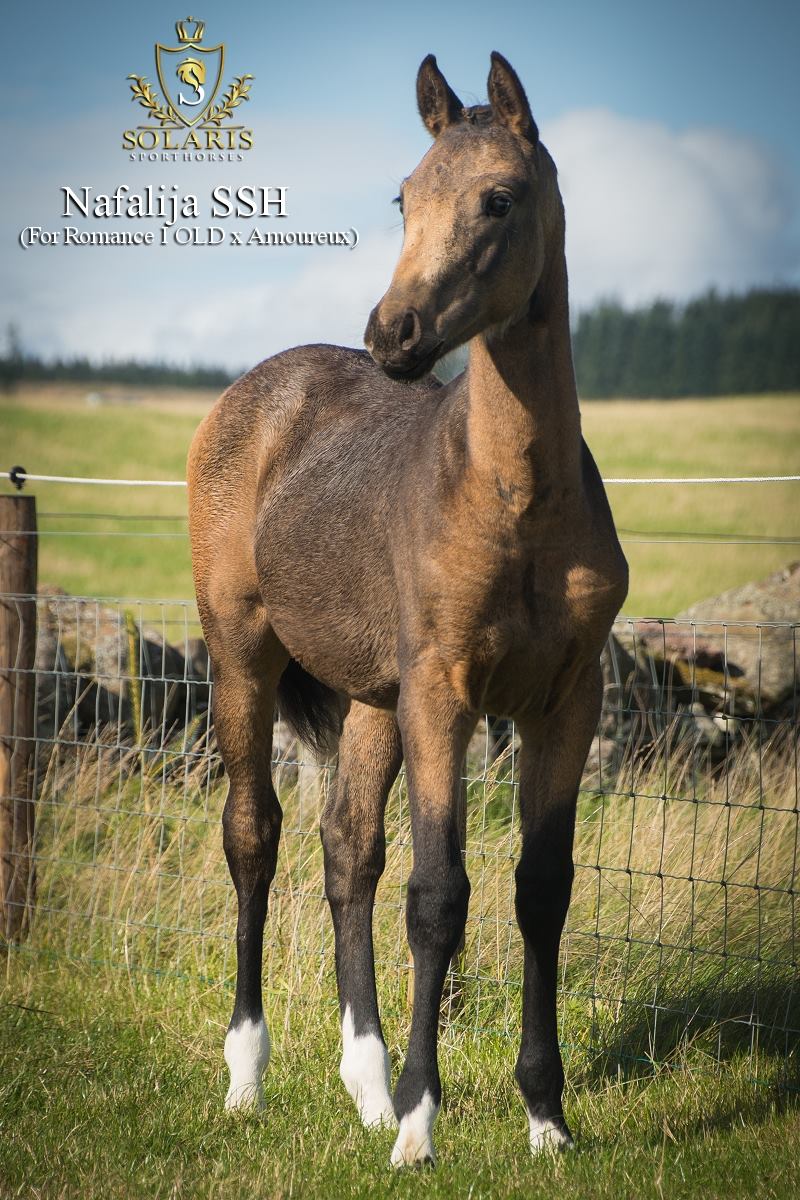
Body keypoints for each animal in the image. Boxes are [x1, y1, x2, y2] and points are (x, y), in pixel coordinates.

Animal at [189, 54, 633, 1161]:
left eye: (498, 199)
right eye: (403, 197)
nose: (392, 334)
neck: (515, 500)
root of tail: (258, 389)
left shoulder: (566, 701)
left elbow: (540, 888)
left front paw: (545, 1118)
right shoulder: (445, 691)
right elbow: (438, 896)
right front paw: (423, 1127)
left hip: (372, 698)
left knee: (348, 846)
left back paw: (366, 1085)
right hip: (243, 656)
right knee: (254, 835)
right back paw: (250, 1077)